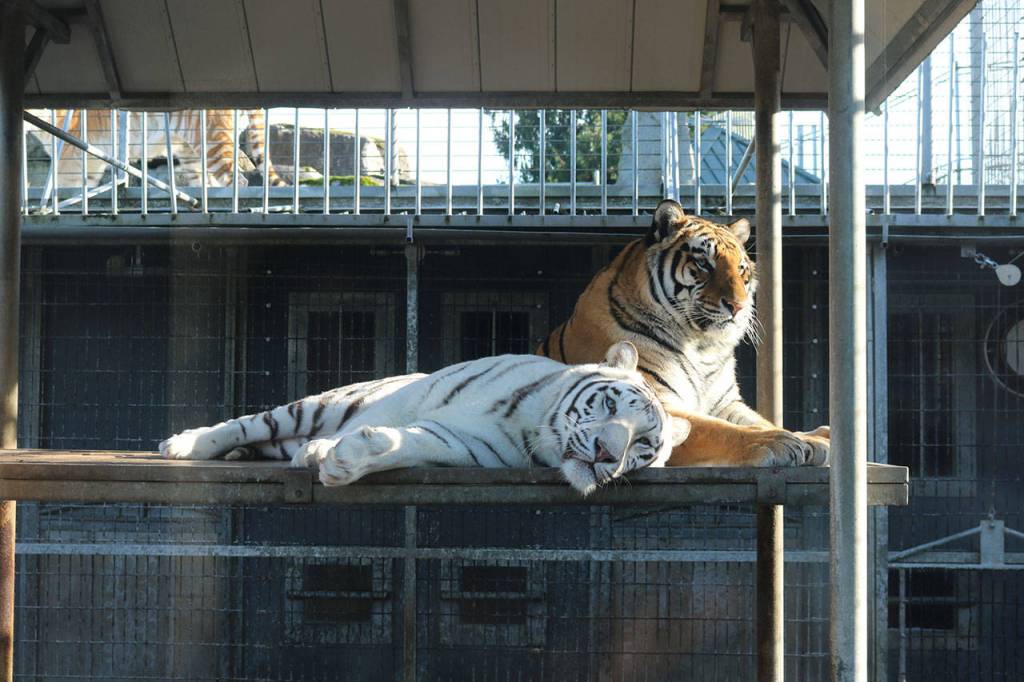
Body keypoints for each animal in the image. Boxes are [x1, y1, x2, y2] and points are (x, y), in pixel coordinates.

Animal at [160, 341, 686, 496]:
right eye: (611, 405)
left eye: (643, 446)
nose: (606, 454)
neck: (533, 424)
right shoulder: (402, 402)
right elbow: (386, 421)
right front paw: (325, 450)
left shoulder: (464, 446)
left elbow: (408, 442)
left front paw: (342, 459)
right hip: (321, 403)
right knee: (252, 423)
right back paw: (186, 444)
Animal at [539, 199, 830, 468]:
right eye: (704, 263)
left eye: (741, 268)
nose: (738, 305)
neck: (702, 348)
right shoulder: (654, 402)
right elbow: (718, 430)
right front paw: (778, 442)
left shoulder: (725, 403)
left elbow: (761, 421)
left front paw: (812, 439)